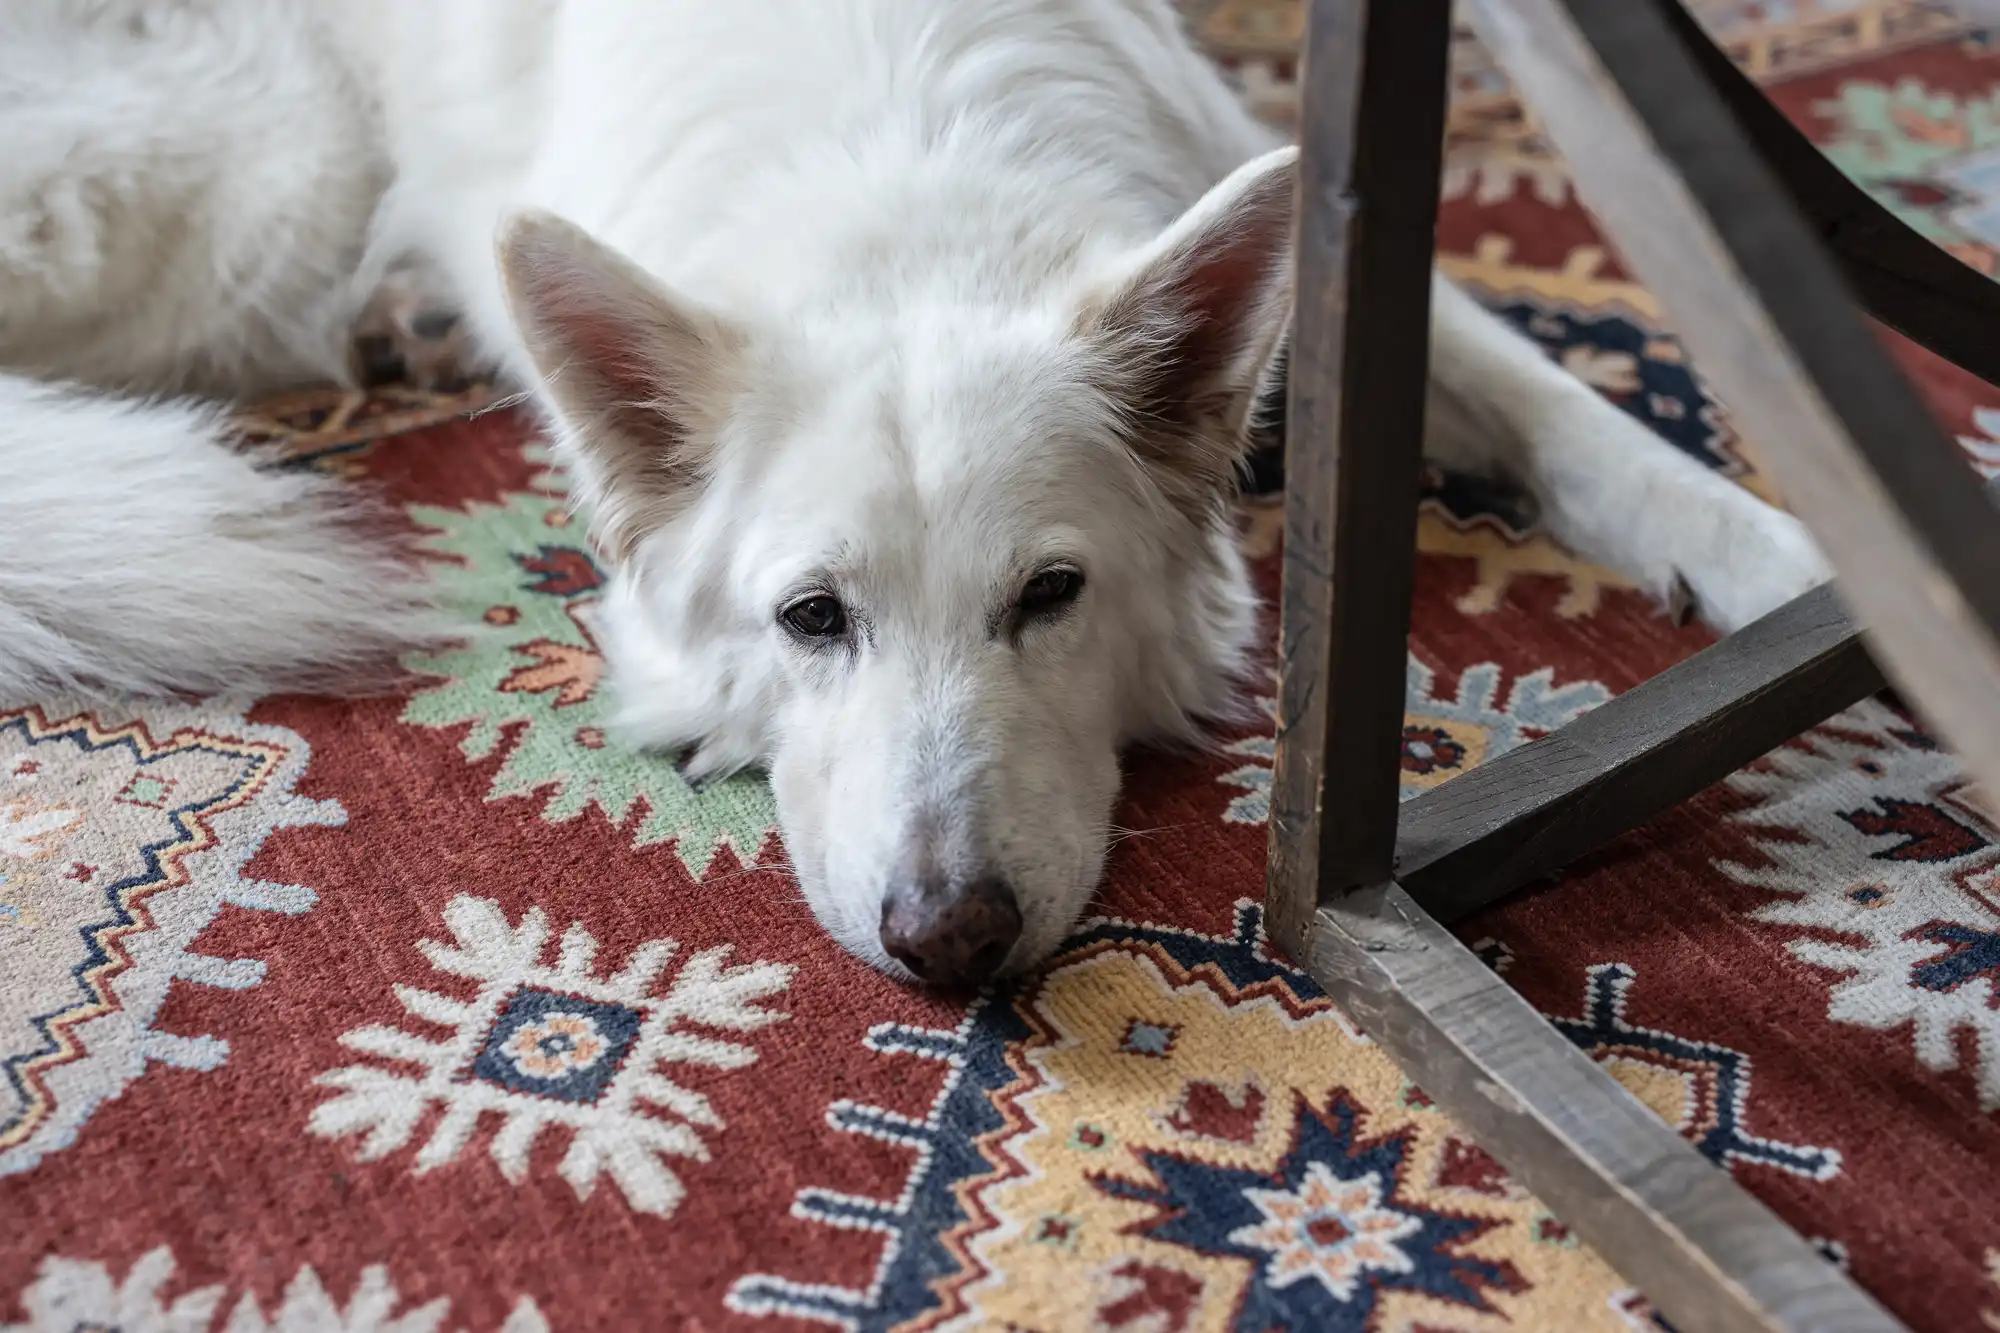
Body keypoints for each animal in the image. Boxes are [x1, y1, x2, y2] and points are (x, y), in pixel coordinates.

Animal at [0, 0, 1832, 976]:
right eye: (814, 620)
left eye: (1052, 595)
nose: (950, 936)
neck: (908, 194)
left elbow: (1577, 414)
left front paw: (1797, 571)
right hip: (243, 183)